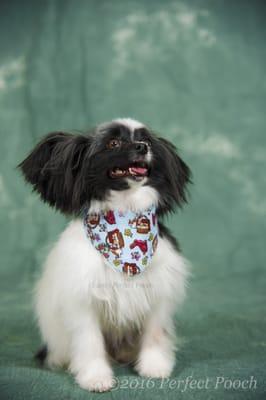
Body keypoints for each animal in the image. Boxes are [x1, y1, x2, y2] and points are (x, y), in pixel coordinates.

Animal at [18, 117, 191, 392]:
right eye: (113, 143)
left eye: (146, 140)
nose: (142, 147)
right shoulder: (84, 299)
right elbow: (90, 342)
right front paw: (95, 377)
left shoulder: (158, 293)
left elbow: (155, 333)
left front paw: (154, 367)